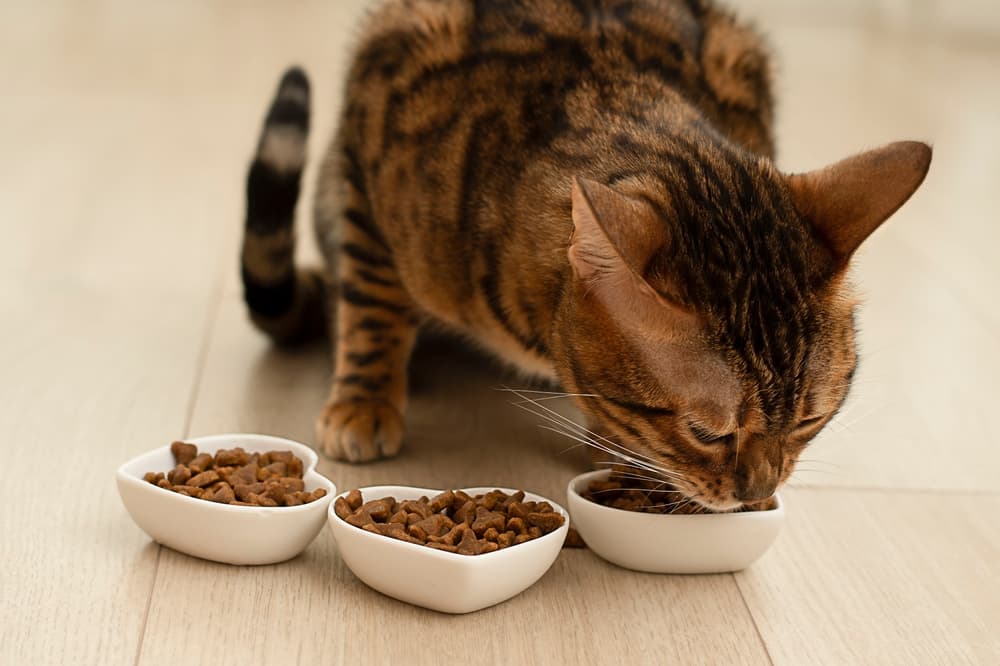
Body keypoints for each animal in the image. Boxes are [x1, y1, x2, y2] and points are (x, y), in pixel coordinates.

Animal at [240, 0, 928, 510]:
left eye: (812, 421)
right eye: (708, 433)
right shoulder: (371, 136)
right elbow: (374, 303)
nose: (757, 496)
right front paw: (364, 402)